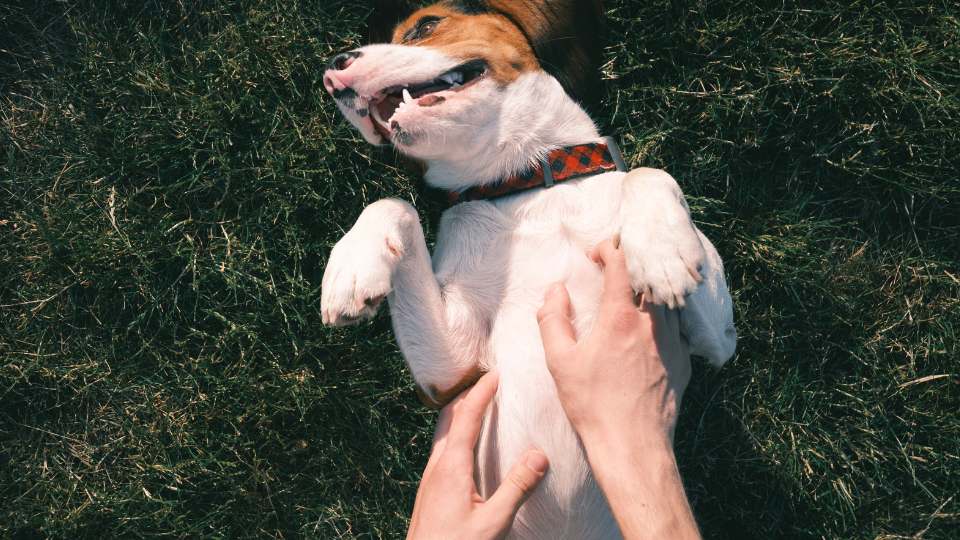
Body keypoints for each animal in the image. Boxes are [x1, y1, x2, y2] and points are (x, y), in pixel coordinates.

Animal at [320, 3, 736, 536]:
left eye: (425, 25)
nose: (333, 70)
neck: (528, 183)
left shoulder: (716, 344)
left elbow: (648, 172)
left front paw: (662, 251)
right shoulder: (453, 374)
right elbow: (393, 203)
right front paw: (351, 268)